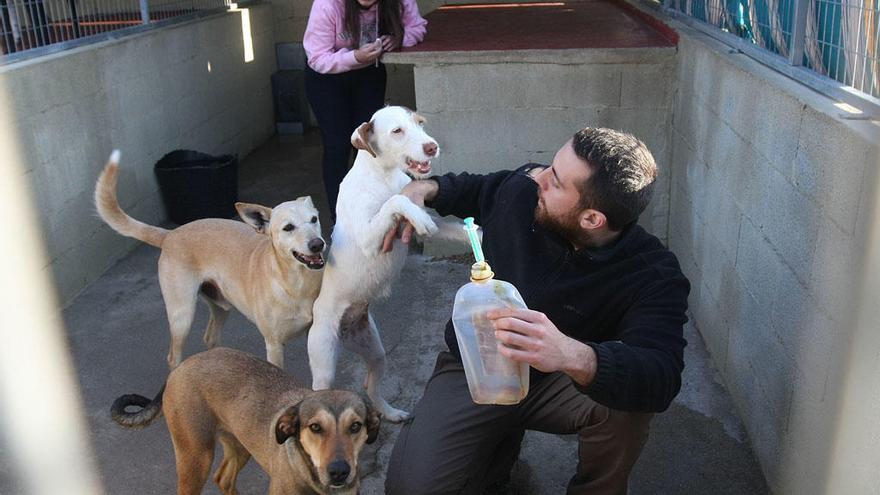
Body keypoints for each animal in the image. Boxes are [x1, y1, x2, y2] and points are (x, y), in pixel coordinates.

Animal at [94, 151, 326, 368]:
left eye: (314, 219)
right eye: (288, 227)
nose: (318, 244)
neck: (297, 283)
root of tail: (170, 234)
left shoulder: (313, 335)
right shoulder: (274, 345)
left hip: (220, 306)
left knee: (210, 338)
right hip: (182, 315)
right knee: (173, 356)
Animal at [111, 348, 382, 495]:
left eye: (355, 426)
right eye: (315, 427)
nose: (339, 472)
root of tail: (180, 367)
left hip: (240, 444)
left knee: (223, 478)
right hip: (195, 457)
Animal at [310, 107, 444, 422]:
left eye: (420, 123)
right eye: (397, 131)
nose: (432, 147)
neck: (383, 177)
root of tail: (345, 332)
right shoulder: (370, 240)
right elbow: (396, 202)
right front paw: (419, 218)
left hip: (375, 351)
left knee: (370, 386)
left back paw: (390, 412)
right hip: (324, 366)